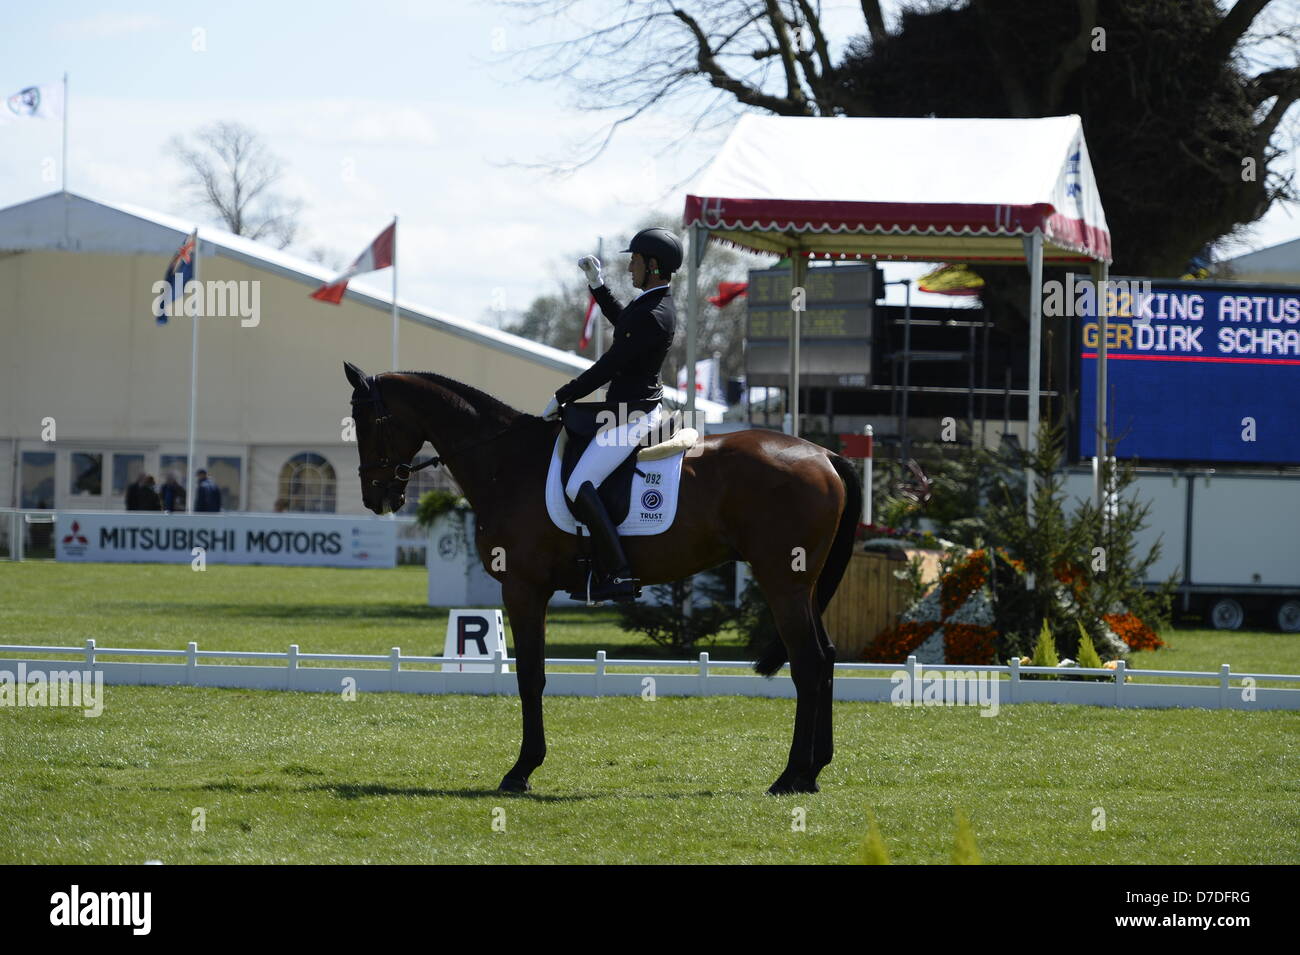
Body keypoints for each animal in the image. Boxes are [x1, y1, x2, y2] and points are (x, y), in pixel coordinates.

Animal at [348, 361, 863, 795]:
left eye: (367, 421)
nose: (376, 497)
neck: (507, 461)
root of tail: (824, 454)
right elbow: (534, 675)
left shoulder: (523, 588)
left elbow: (530, 677)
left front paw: (521, 771)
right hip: (802, 585)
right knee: (826, 657)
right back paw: (814, 772)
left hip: (782, 582)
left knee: (808, 663)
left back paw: (790, 775)